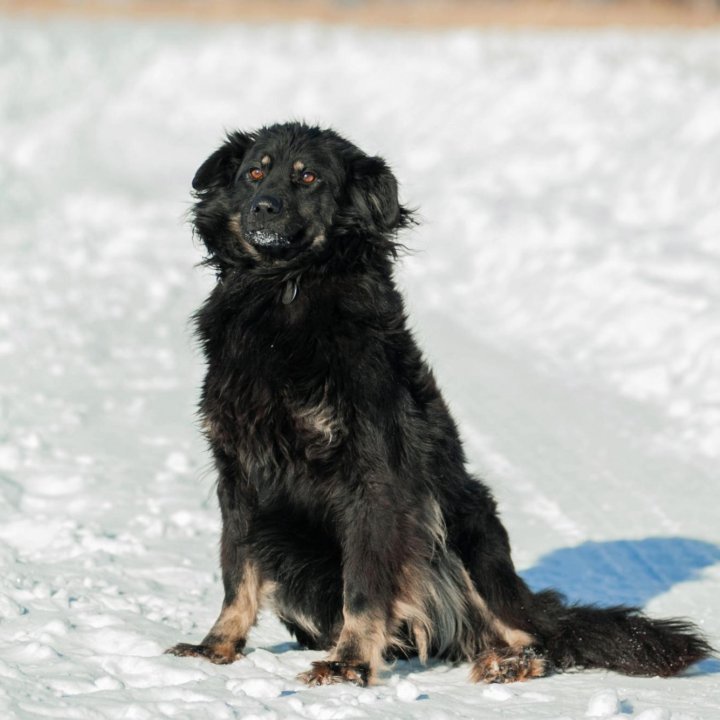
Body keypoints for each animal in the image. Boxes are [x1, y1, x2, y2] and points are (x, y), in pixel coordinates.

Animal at [166, 121, 712, 684]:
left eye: (309, 177)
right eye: (255, 173)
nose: (262, 207)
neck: (283, 289)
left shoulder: (373, 475)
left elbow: (363, 583)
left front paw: (348, 663)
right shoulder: (238, 470)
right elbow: (236, 570)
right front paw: (217, 645)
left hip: (463, 526)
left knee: (533, 636)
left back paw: (508, 661)